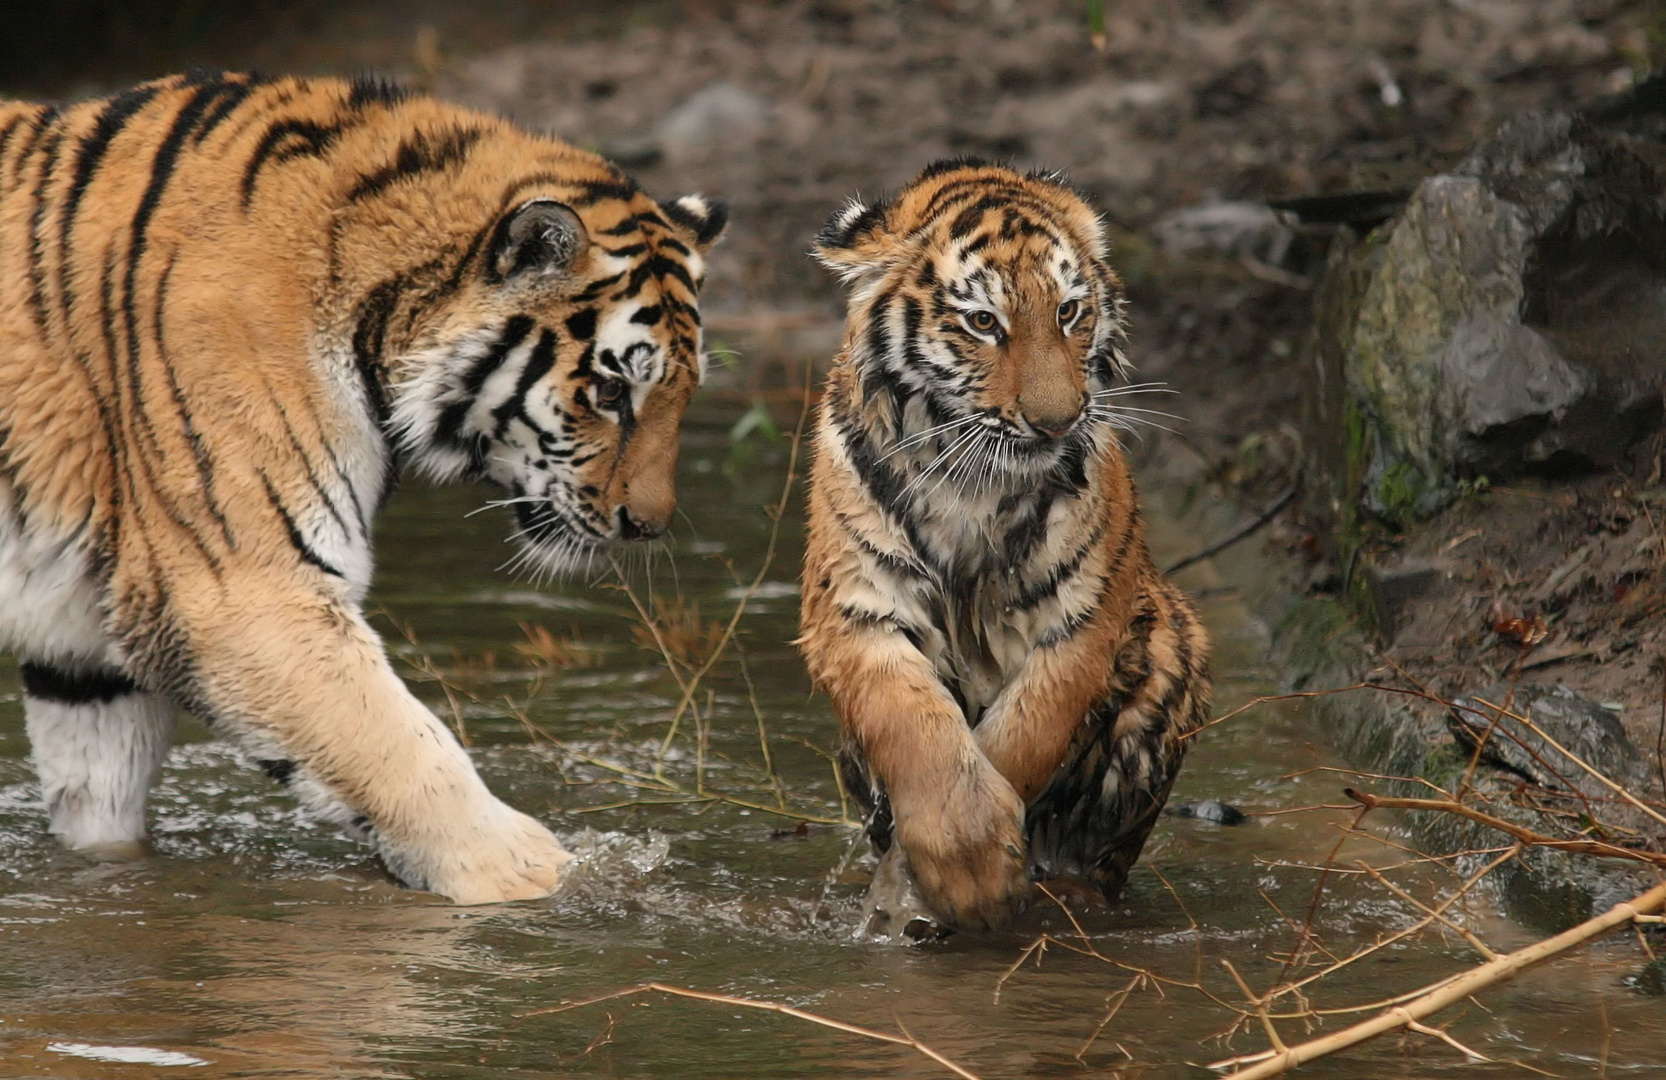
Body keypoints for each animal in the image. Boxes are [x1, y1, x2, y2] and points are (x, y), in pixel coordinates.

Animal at [1, 69, 729, 900]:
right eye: (611, 392)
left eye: (683, 394)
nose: (649, 524)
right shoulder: (244, 592)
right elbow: (399, 746)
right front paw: (536, 878)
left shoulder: (87, 654)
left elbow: (99, 802)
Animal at [796, 158, 1212, 926]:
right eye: (984, 322)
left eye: (1069, 312)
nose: (1057, 422)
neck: (972, 480)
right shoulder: (856, 611)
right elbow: (915, 724)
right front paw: (965, 865)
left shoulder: (1085, 621)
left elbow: (1026, 731)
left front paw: (975, 878)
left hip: (1172, 641)